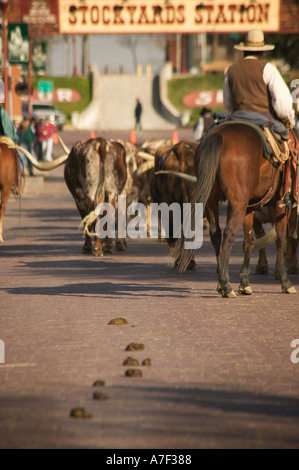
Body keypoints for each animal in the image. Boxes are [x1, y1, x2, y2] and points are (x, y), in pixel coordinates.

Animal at [172, 121, 296, 298]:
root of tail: (219, 135)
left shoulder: (249, 209)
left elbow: (248, 241)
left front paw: (244, 282)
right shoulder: (280, 205)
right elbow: (281, 240)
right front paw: (285, 281)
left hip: (213, 202)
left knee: (216, 234)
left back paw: (221, 281)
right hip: (238, 204)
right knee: (228, 234)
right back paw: (225, 285)